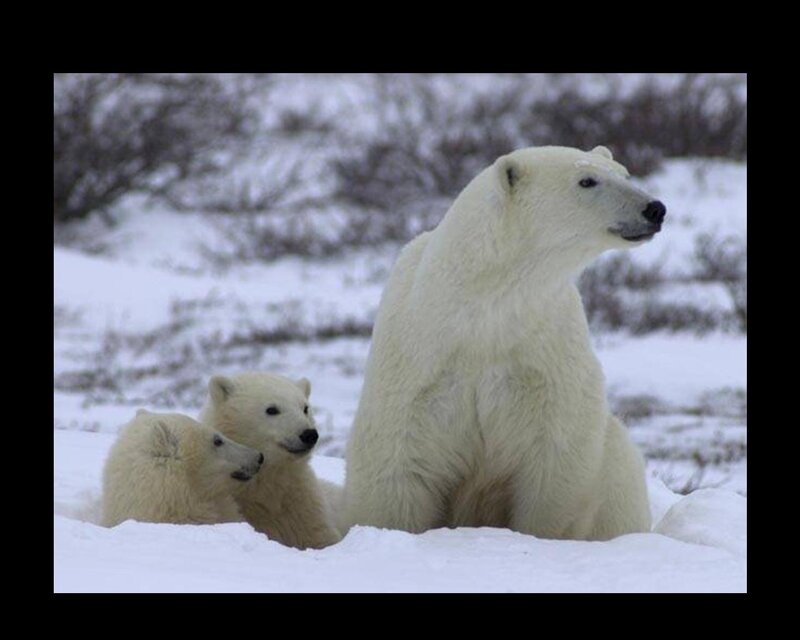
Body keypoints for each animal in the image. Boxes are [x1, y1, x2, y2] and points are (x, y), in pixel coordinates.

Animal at [342, 145, 663, 540]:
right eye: (587, 180)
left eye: (624, 173)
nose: (654, 208)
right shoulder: (420, 368)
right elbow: (398, 465)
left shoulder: (545, 356)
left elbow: (556, 458)